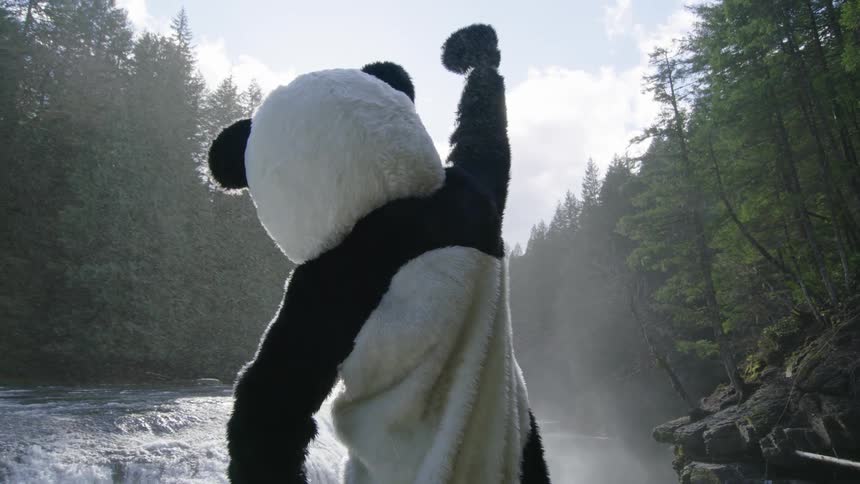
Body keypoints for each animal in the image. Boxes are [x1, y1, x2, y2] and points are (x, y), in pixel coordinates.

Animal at [207, 24, 551, 484]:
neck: (390, 195)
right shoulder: (472, 196)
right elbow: (486, 138)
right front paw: (476, 52)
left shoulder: (331, 282)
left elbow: (275, 398)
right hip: (522, 441)